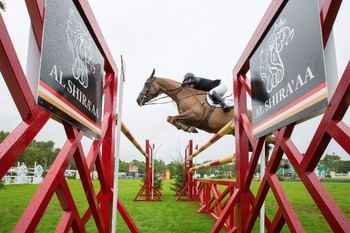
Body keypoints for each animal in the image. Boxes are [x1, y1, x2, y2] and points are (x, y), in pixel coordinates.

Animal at [137, 68, 276, 147]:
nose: (138, 100)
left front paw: (187, 128)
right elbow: (171, 118)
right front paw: (187, 128)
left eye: (146, 83)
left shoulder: (194, 115)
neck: (184, 95)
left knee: (270, 140)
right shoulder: (188, 117)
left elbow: (172, 118)